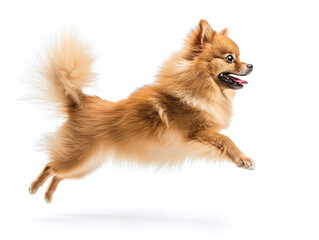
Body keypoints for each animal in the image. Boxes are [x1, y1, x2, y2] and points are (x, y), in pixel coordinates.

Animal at [29, 19, 255, 202]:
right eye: (230, 58)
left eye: (239, 56)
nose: (251, 65)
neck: (197, 88)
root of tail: (81, 101)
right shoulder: (195, 132)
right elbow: (226, 139)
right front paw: (243, 159)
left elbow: (223, 140)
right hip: (77, 159)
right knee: (50, 166)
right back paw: (33, 187)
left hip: (87, 164)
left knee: (58, 174)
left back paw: (48, 196)